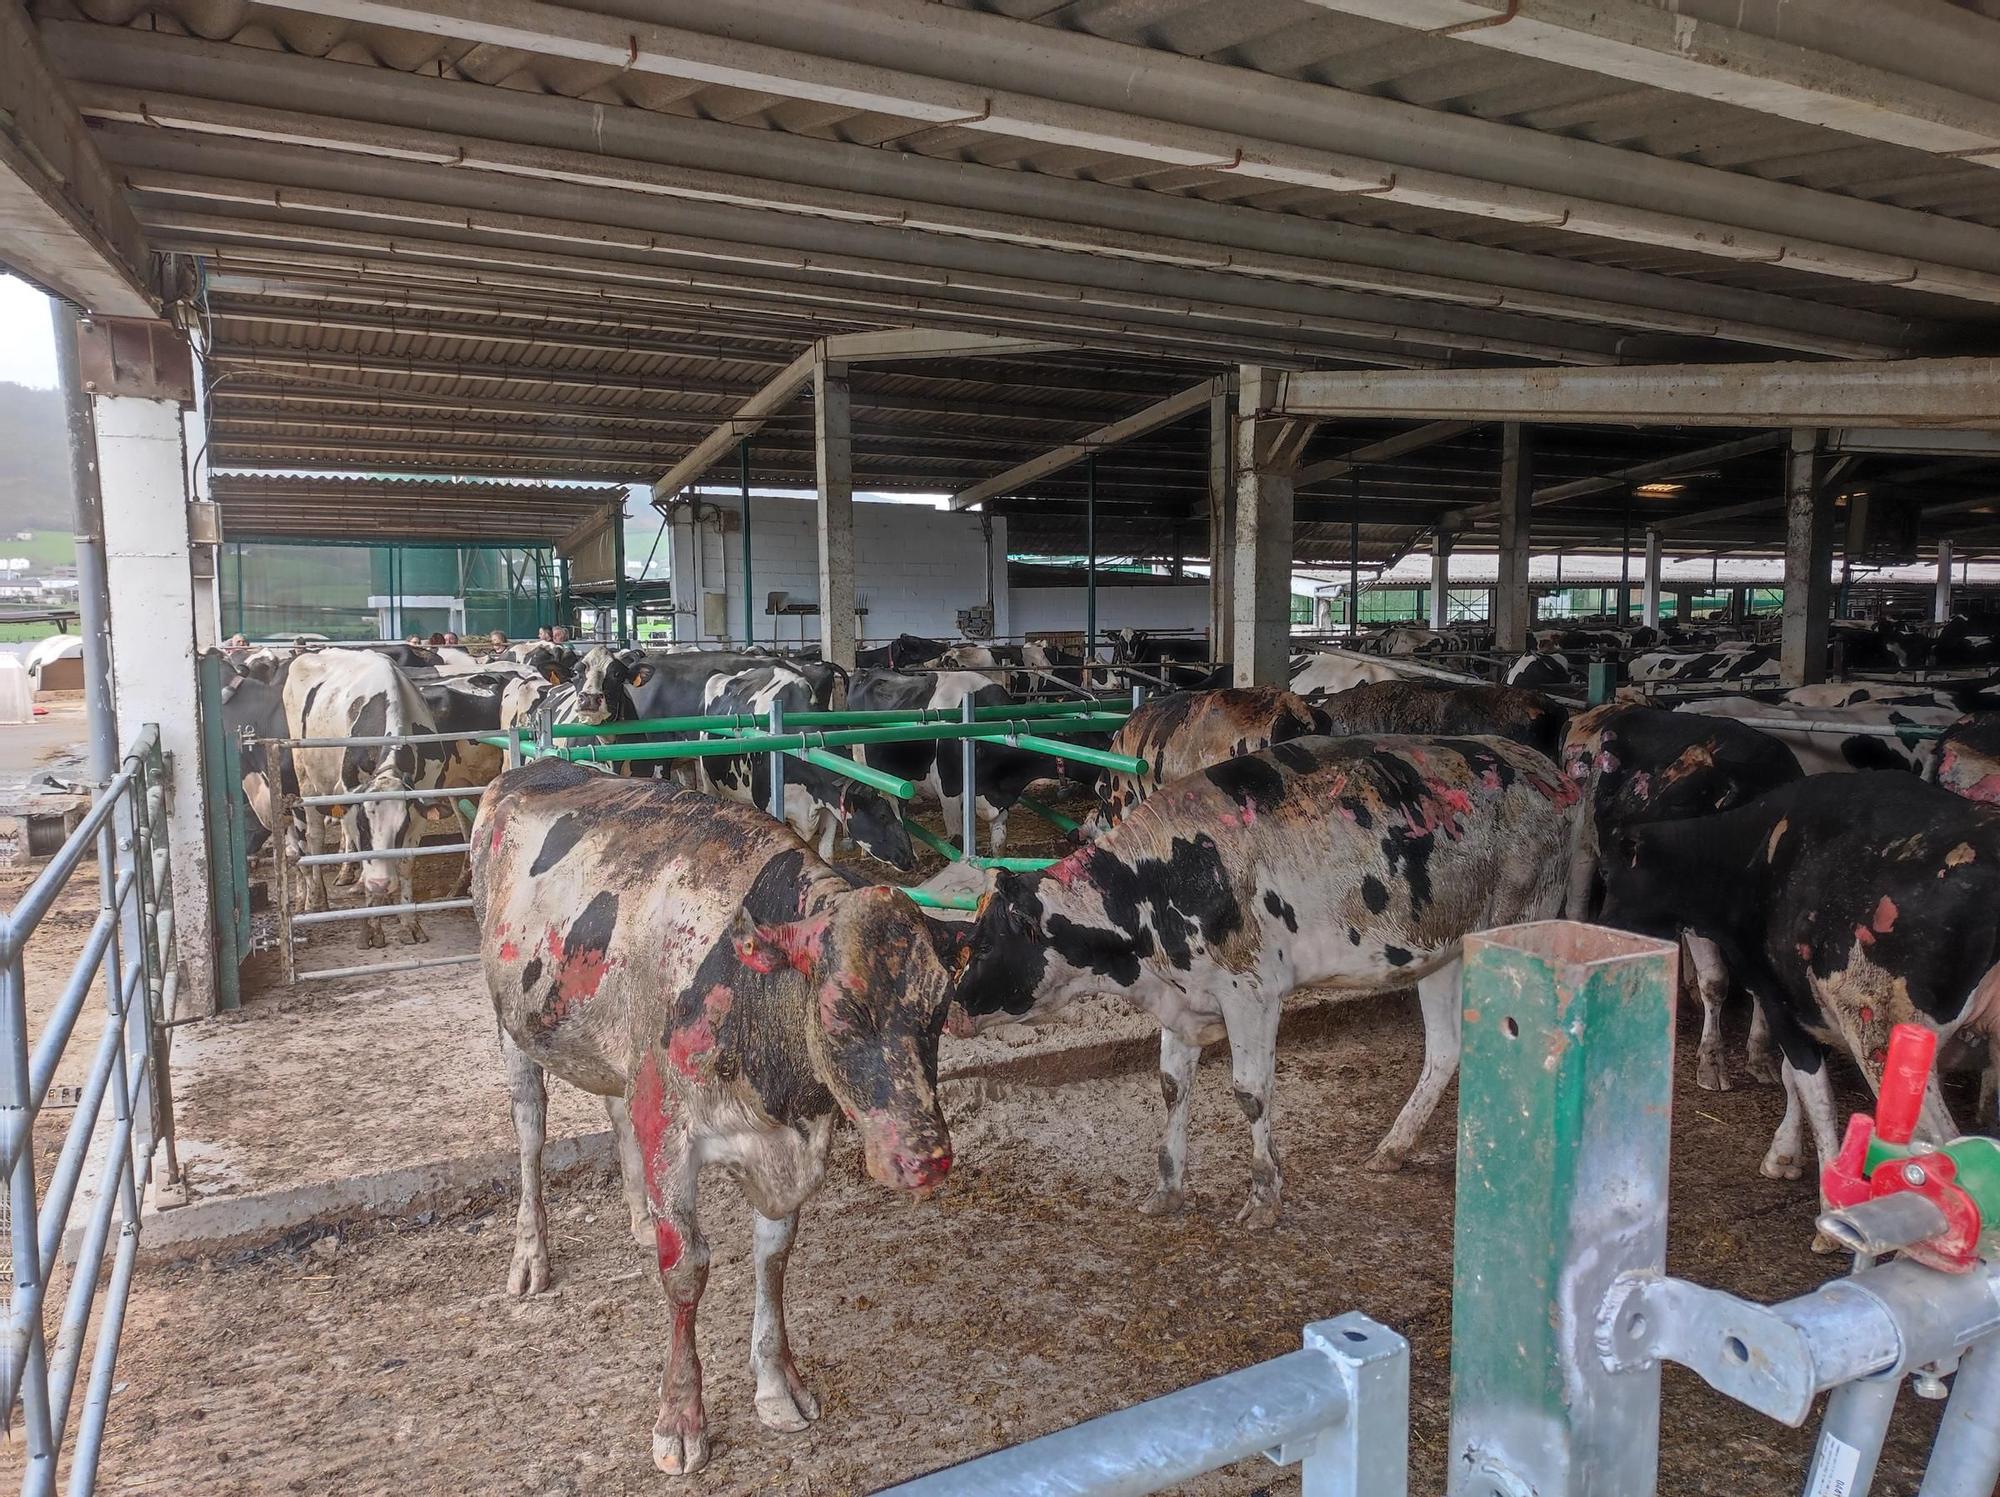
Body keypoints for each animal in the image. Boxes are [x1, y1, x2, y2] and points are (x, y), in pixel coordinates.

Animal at [468, 760, 952, 1472]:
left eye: (940, 1008)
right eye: (842, 1010)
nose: (926, 1158)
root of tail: (528, 768)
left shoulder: (791, 1144)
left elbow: (773, 1259)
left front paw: (777, 1386)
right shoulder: (671, 1130)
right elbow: (687, 1271)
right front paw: (680, 1420)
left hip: (616, 1047)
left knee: (615, 1111)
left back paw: (641, 1220)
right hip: (513, 1026)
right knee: (529, 1130)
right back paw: (531, 1254)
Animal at [948, 732, 1576, 1224]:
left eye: (984, 945)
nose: (950, 1010)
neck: (1161, 880)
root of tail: (1546, 771)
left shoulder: (1251, 991)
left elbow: (1250, 1094)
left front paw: (1264, 1197)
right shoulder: (1183, 997)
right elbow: (1172, 1087)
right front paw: (1167, 1190)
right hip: (1443, 952)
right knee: (1445, 1050)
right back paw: (1393, 1148)